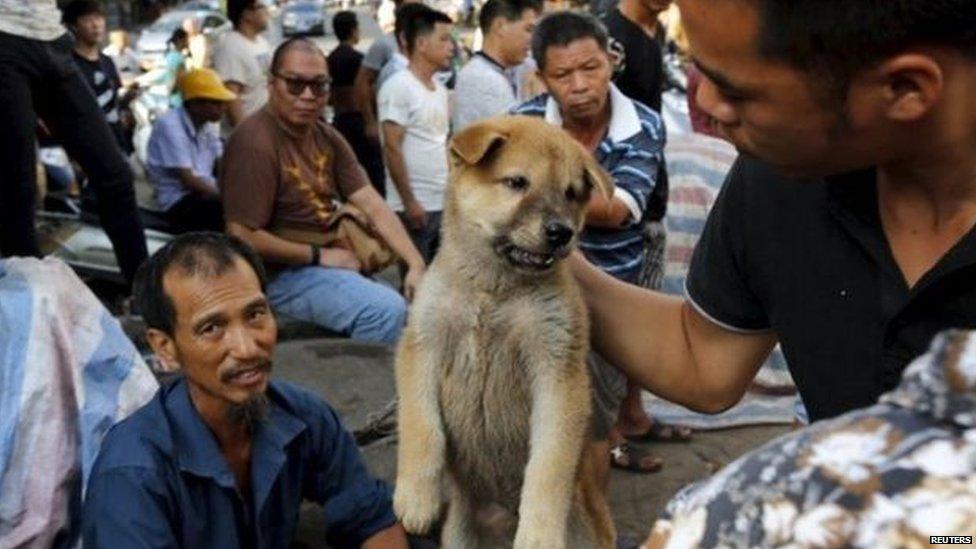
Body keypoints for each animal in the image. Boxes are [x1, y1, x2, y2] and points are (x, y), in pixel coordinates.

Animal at [392, 116, 612, 548]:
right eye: (517, 182)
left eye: (571, 194)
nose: (562, 232)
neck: (493, 290)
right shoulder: (421, 345)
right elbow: (421, 426)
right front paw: (416, 496)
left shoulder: (558, 368)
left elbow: (548, 465)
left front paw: (539, 533)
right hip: (460, 535)